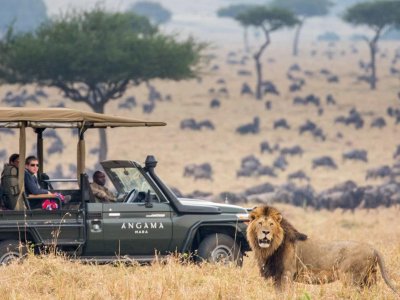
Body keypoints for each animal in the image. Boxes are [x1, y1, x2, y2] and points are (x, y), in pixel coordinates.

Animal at [247, 204, 400, 292]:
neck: (269, 249)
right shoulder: (276, 277)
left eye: (271, 224)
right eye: (260, 223)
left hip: (351, 279)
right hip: (369, 279)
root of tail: (372, 247)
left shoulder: (286, 275)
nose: (265, 232)